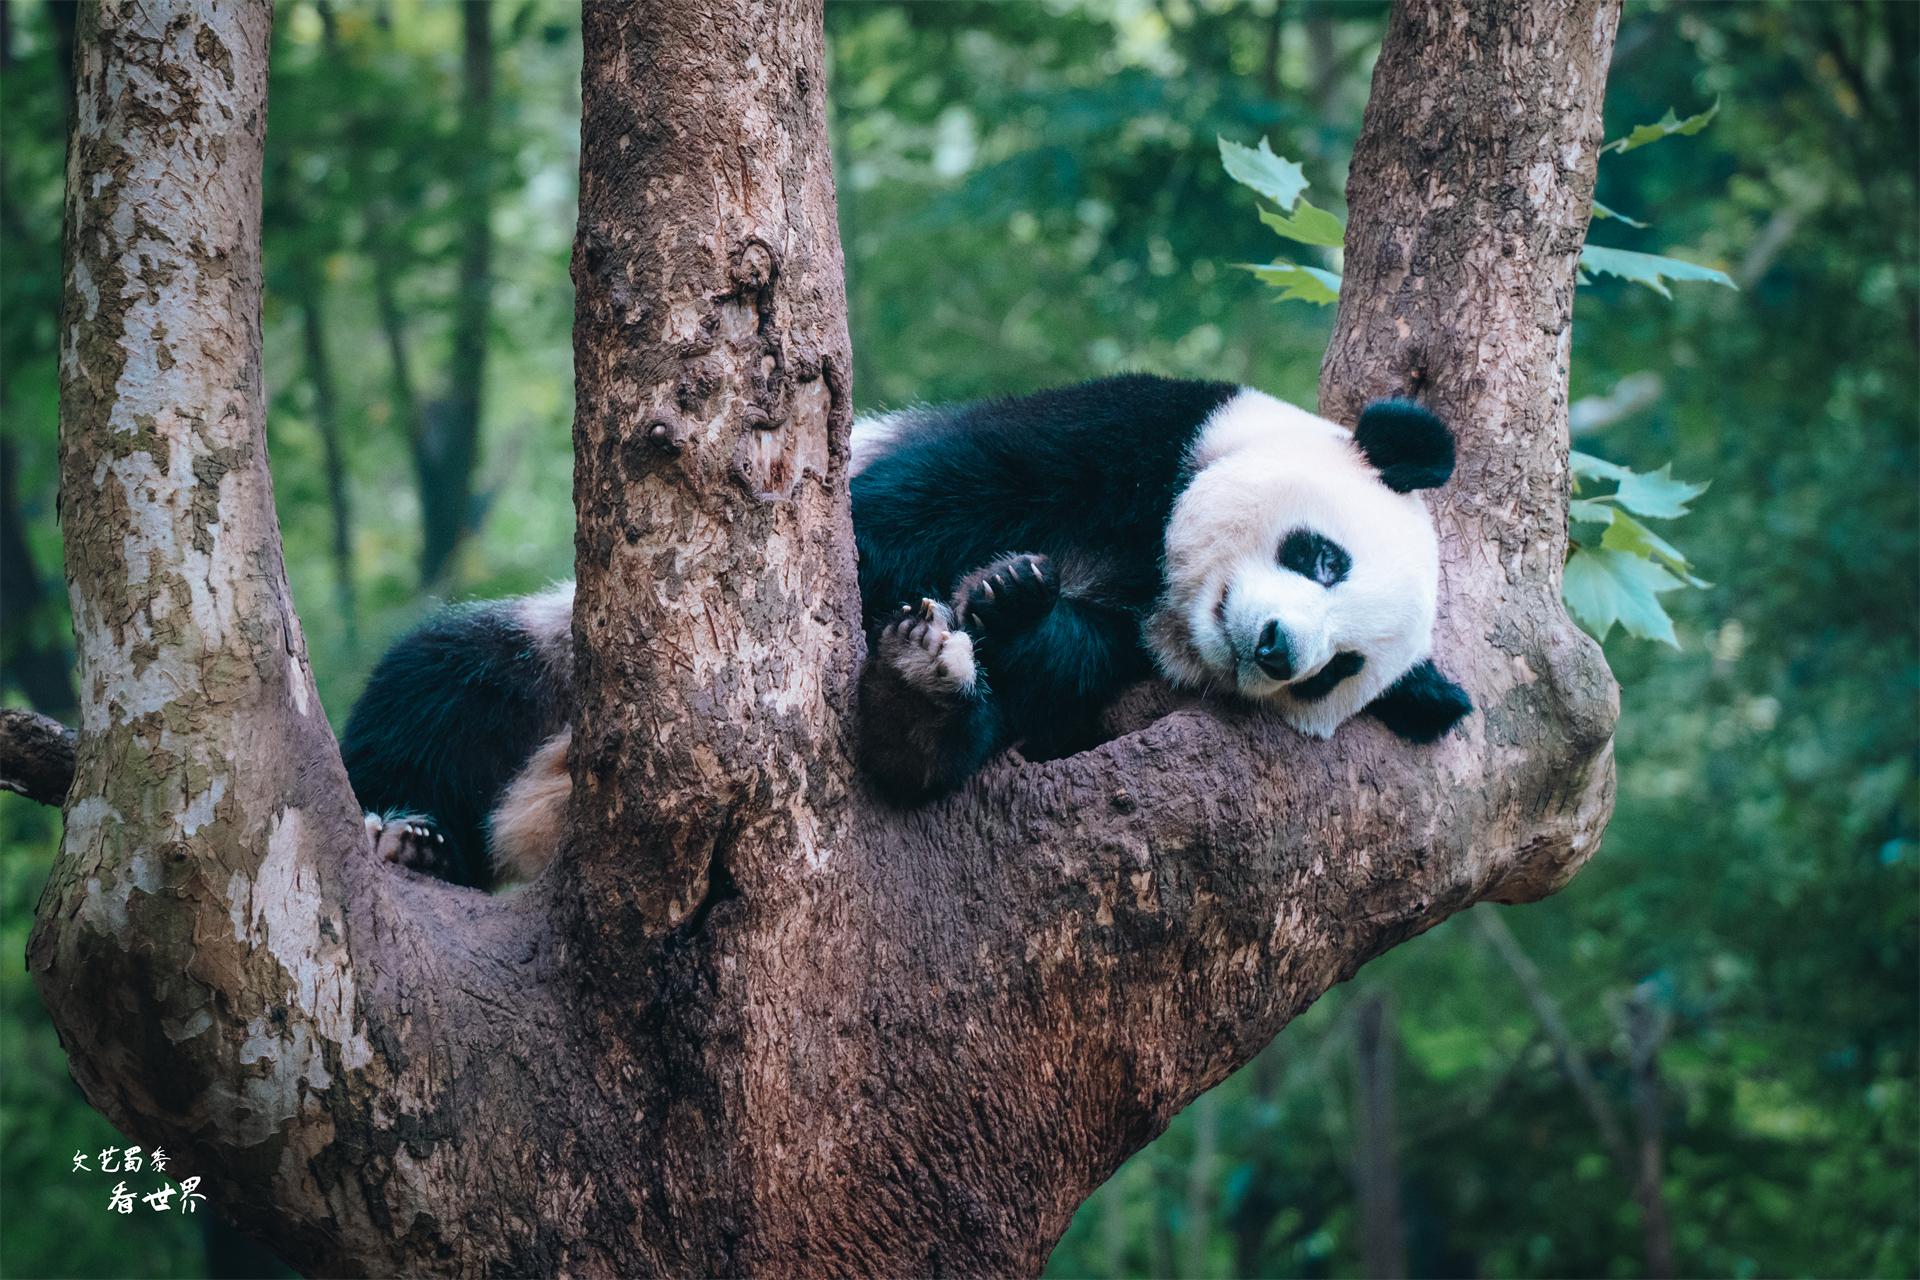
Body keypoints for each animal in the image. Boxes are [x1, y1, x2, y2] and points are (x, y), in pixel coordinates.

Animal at [341, 376, 1466, 886]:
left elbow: (1049, 679)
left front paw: (1005, 612)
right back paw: (408, 831)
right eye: (1324, 557)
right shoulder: (1133, 434)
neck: (1159, 584)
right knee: (443, 685)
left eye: (1339, 671)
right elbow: (899, 510)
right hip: (551, 658)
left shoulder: (1121, 672)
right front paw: (994, 583)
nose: (1278, 648)